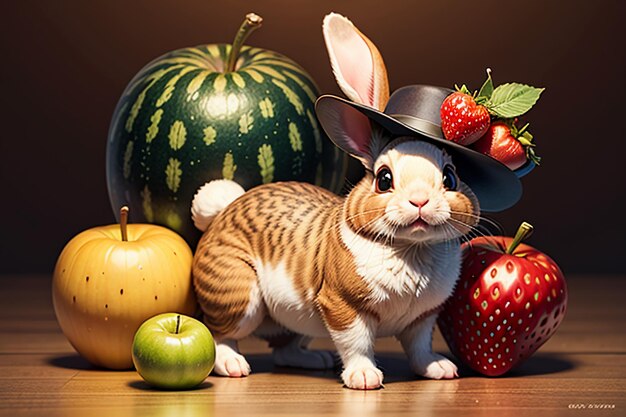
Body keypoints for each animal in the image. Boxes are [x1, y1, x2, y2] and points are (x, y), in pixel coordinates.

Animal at [191, 13, 482, 390]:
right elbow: (356, 343)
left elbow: (419, 347)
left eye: (450, 178)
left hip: (295, 314)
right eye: (383, 179)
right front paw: (364, 378)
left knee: (284, 347)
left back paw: (315, 360)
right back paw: (233, 365)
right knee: (220, 333)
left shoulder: (422, 318)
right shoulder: (342, 306)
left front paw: (439, 369)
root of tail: (225, 208)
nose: (420, 200)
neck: (410, 248)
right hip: (240, 295)